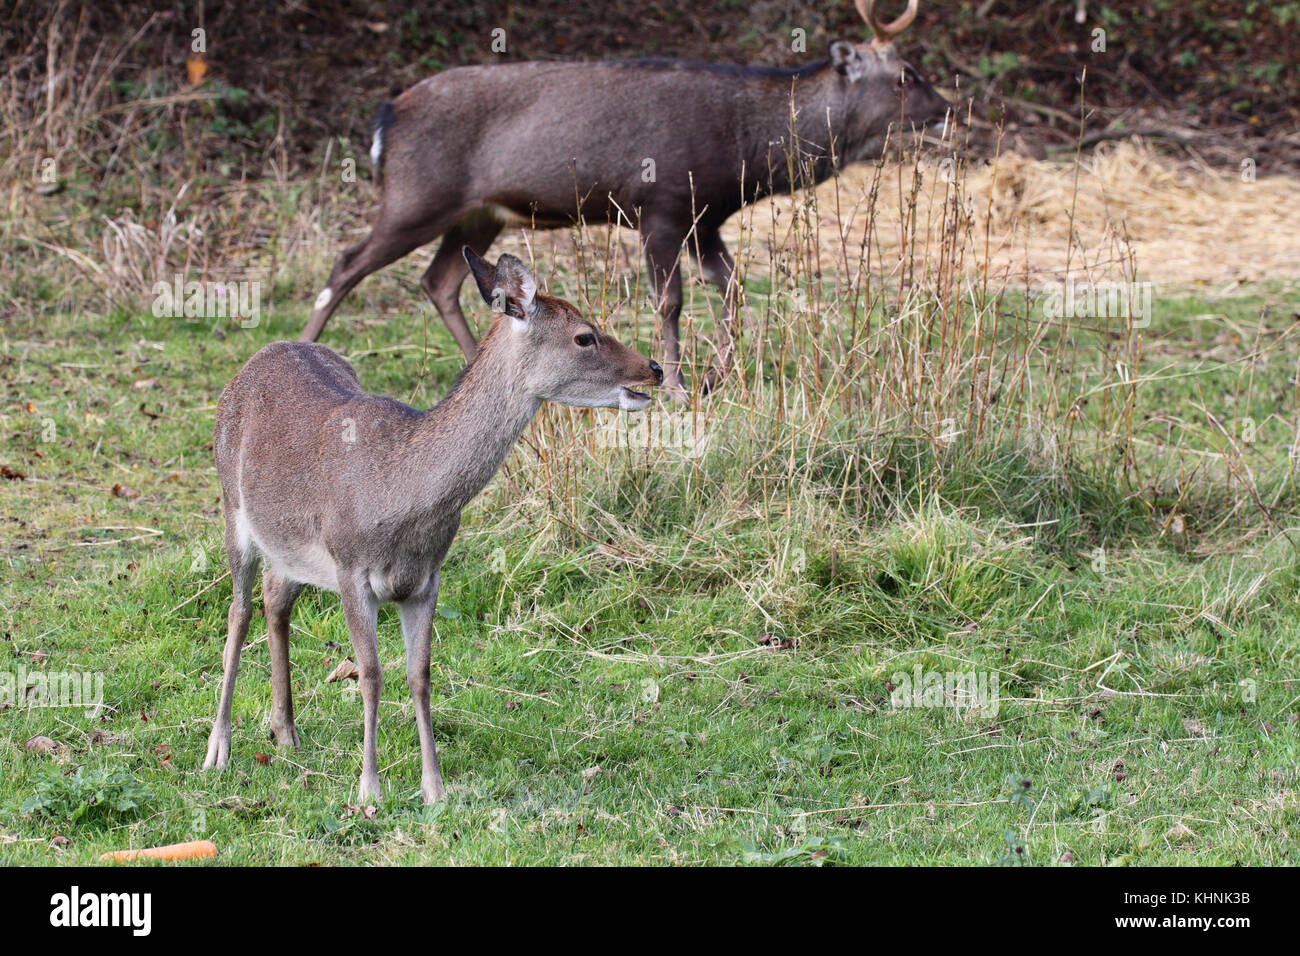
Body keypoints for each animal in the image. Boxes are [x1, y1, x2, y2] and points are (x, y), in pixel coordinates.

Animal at [203, 249, 663, 804]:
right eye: (584, 336)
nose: (656, 368)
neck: (405, 500)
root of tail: (255, 359)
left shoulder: (427, 576)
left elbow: (419, 674)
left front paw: (434, 788)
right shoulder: (350, 567)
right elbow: (371, 674)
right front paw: (369, 790)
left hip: (293, 548)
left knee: (275, 593)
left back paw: (285, 731)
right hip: (232, 506)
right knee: (238, 611)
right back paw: (218, 749)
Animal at [299, 0, 949, 394]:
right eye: (905, 75)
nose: (946, 109)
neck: (743, 151)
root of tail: (386, 118)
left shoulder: (705, 218)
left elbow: (732, 287)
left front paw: (718, 377)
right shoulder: (659, 205)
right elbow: (670, 301)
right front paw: (679, 384)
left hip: (478, 213)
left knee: (439, 280)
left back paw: (475, 363)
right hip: (416, 195)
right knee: (348, 263)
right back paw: (303, 348)